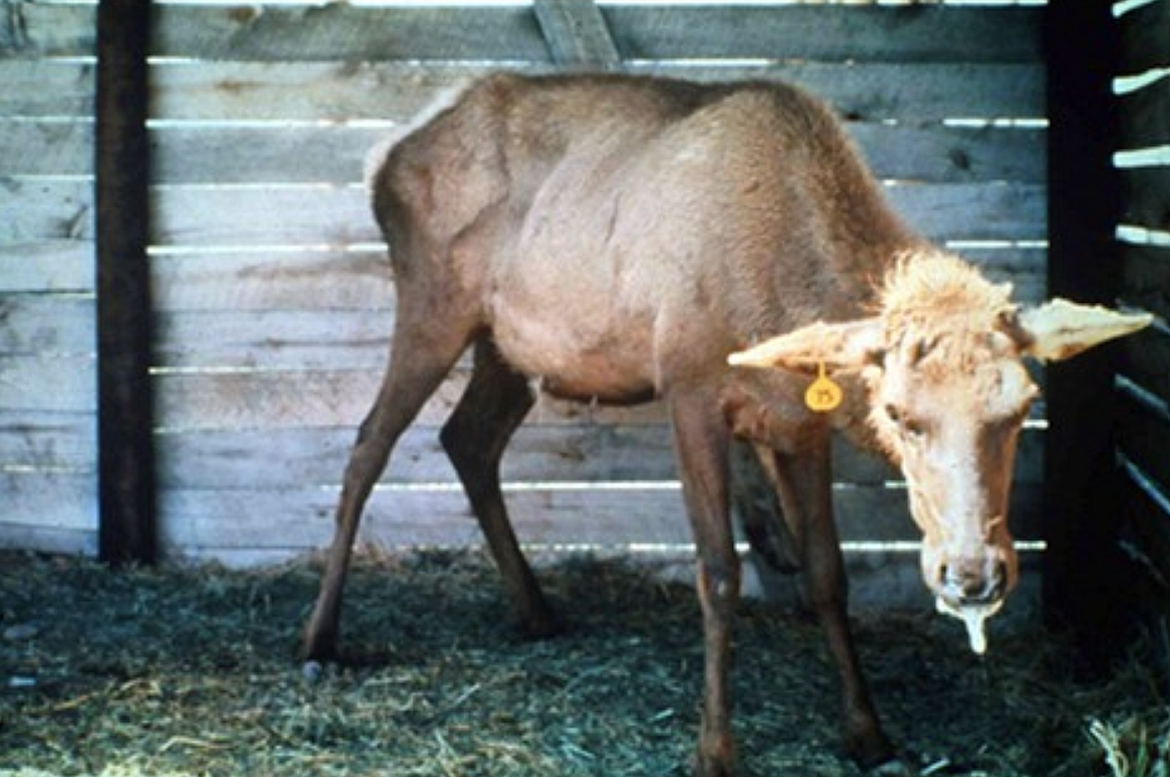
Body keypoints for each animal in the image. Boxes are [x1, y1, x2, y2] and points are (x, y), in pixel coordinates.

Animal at [301, 74, 1151, 777]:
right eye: (899, 413)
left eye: (1022, 403)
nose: (972, 573)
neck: (774, 304)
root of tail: (384, 156)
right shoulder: (688, 389)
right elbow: (718, 572)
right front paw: (714, 747)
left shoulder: (801, 428)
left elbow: (826, 574)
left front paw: (868, 730)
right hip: (432, 304)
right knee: (367, 446)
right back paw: (318, 640)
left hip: (507, 346)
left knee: (467, 440)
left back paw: (536, 609)